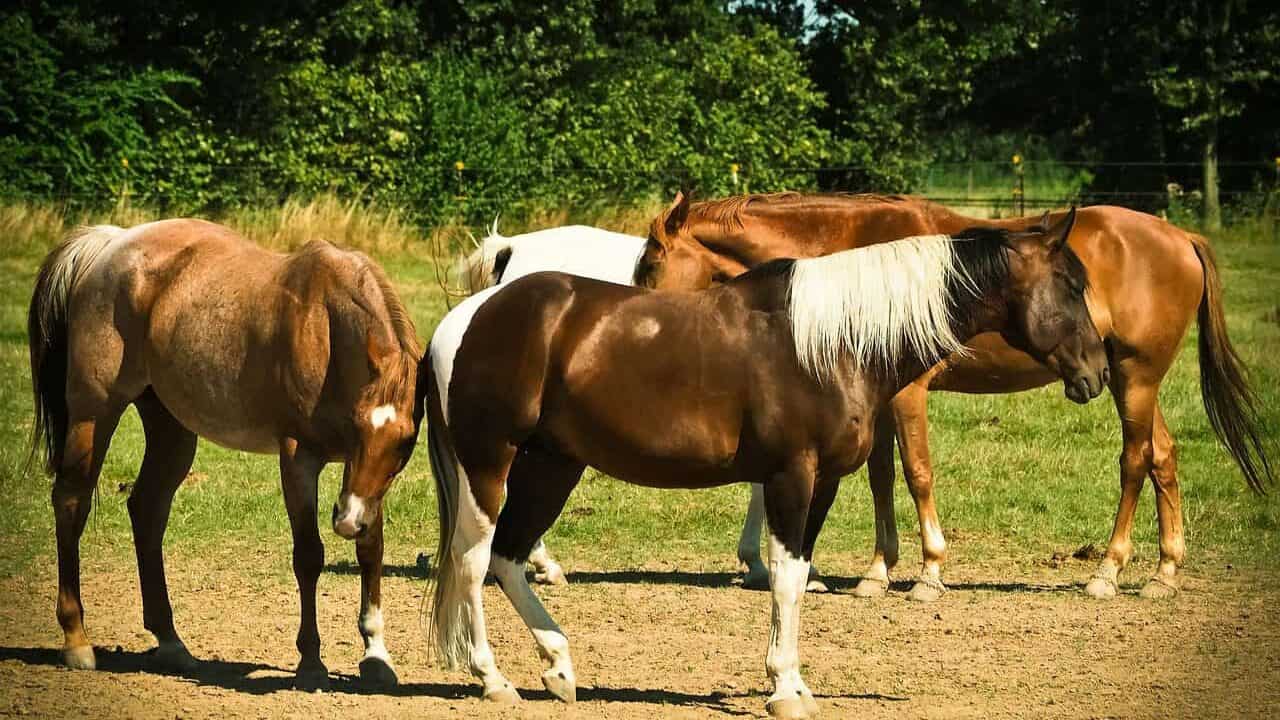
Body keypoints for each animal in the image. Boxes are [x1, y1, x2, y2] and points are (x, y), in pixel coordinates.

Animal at [27, 219, 423, 689]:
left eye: (405, 440)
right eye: (361, 426)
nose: (346, 523)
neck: (325, 330)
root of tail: (110, 243)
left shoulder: (363, 483)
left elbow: (371, 549)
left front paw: (376, 654)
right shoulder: (299, 459)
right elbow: (309, 556)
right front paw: (310, 661)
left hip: (171, 429)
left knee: (147, 510)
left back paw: (171, 642)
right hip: (94, 413)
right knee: (72, 502)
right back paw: (77, 639)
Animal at [422, 211, 1108, 718]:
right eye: (1072, 287)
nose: (1097, 373)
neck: (834, 342)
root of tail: (465, 318)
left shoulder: (823, 483)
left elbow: (799, 578)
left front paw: (795, 682)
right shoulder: (791, 477)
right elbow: (782, 577)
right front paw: (784, 690)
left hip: (552, 467)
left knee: (510, 557)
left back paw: (559, 666)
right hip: (490, 465)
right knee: (474, 560)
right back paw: (493, 679)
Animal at [636, 192, 1273, 601]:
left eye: (650, 267)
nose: (640, 320)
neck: (848, 257)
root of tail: (1179, 236)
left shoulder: (908, 395)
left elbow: (916, 473)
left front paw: (929, 572)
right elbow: (881, 477)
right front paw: (877, 572)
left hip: (1134, 379)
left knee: (1136, 460)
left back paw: (1108, 572)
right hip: (1126, 378)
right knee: (1164, 456)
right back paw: (1164, 571)